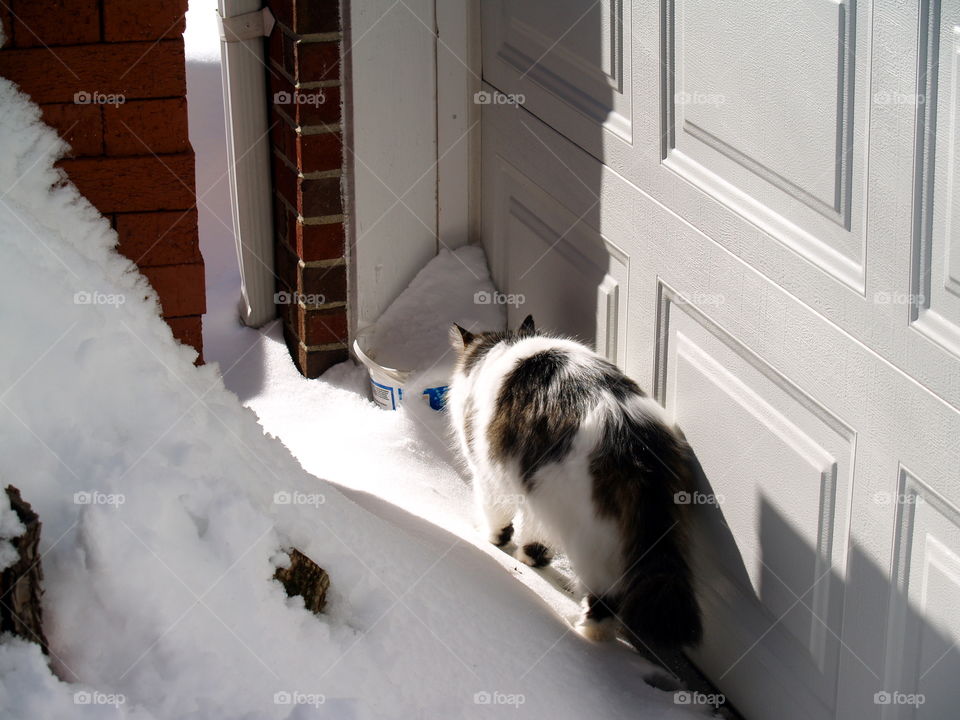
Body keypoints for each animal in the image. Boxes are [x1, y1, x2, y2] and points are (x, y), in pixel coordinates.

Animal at [446, 314, 700, 648]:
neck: (502, 347)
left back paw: (586, 635)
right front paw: (531, 559)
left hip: (591, 539)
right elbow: (535, 535)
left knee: (605, 599)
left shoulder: (489, 472)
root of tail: (632, 443)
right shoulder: (536, 490)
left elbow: (497, 518)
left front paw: (494, 542)